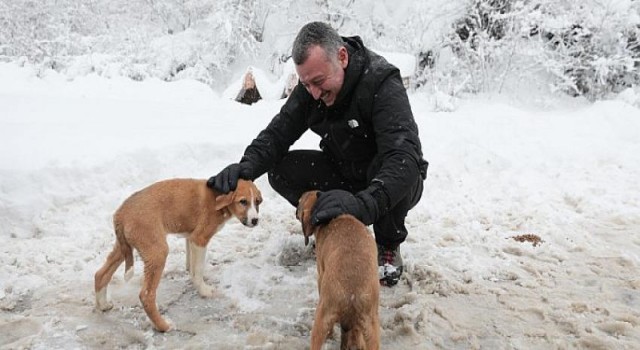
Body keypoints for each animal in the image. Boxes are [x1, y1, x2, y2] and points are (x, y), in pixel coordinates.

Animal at [93, 178, 262, 330]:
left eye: (257, 202)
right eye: (243, 201)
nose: (255, 221)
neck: (217, 196)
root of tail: (121, 213)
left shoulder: (190, 237)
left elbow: (192, 266)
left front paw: (194, 279)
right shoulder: (199, 239)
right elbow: (198, 268)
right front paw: (204, 291)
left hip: (124, 248)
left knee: (100, 274)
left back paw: (103, 305)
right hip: (157, 252)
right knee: (146, 295)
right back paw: (164, 326)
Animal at [296, 191, 380, 350]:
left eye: (299, 202)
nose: (296, 211)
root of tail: (352, 294)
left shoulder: (320, 274)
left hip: (322, 319)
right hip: (371, 328)